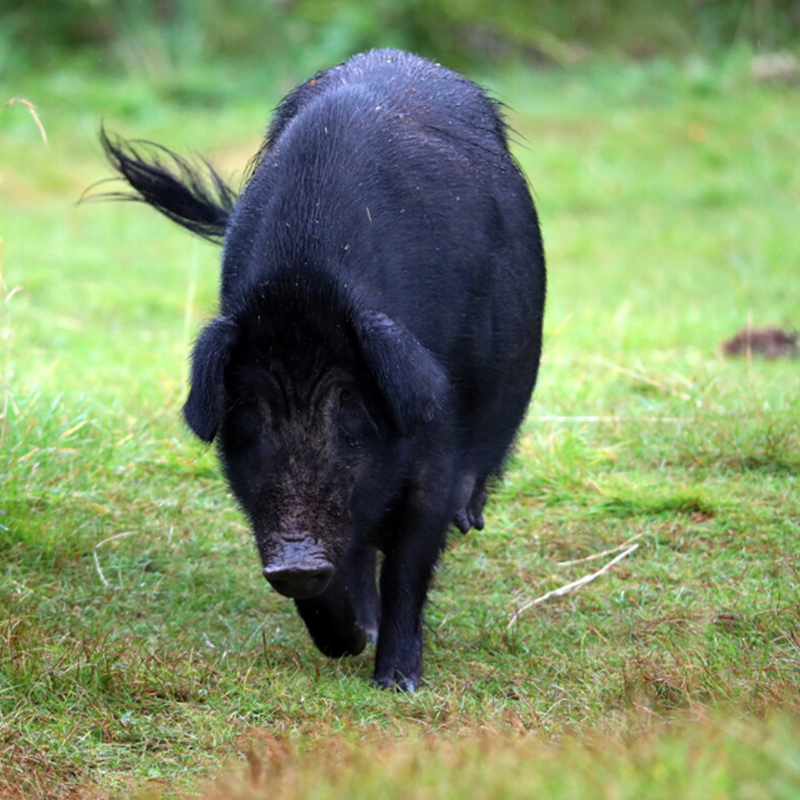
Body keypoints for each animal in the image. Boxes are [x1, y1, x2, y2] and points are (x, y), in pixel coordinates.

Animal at [101, 47, 544, 692]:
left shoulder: (435, 425)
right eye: (250, 411)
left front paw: (397, 682)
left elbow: (411, 559)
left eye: (350, 405)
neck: (304, 281)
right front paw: (351, 640)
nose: (296, 559)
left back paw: (468, 519)